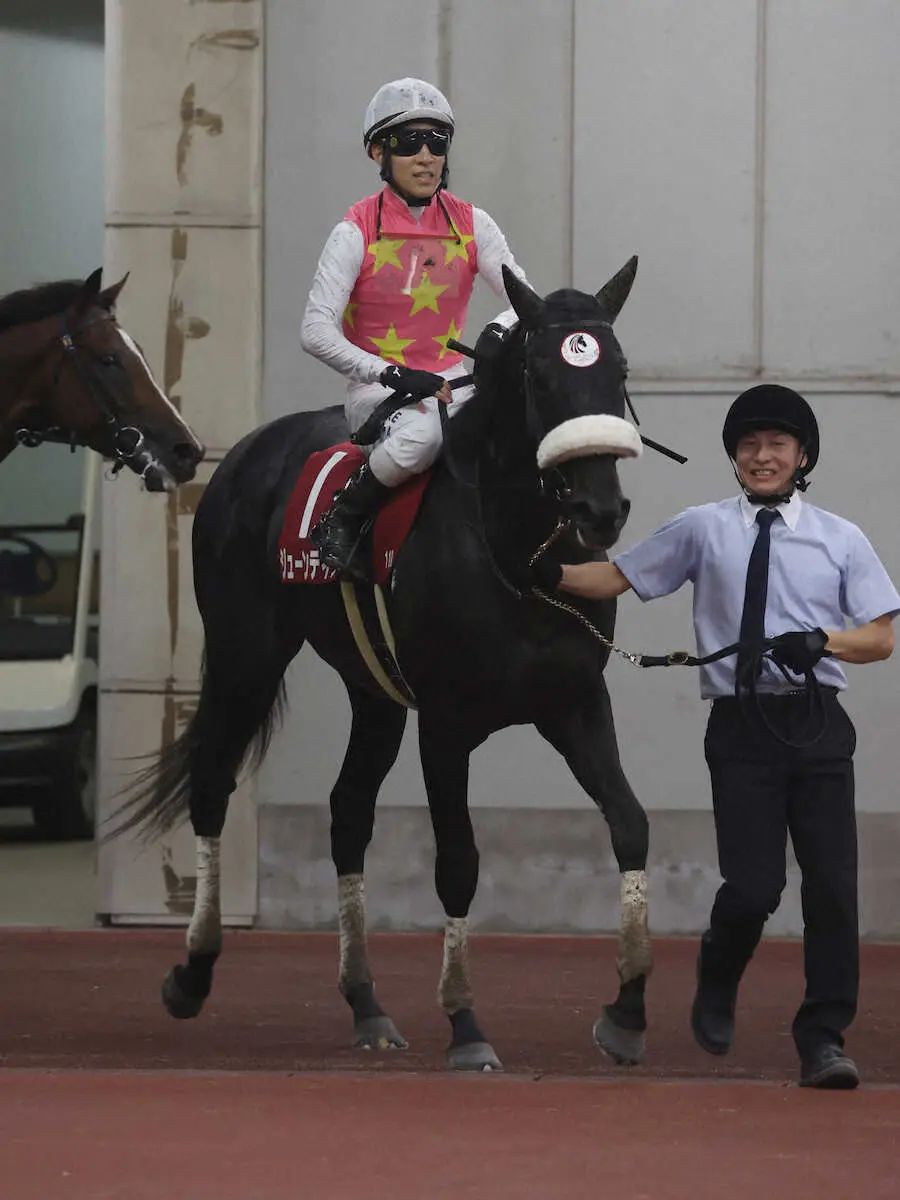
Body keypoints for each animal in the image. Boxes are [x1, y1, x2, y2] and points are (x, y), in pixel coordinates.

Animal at [118, 260, 657, 1070]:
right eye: (538, 375)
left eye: (618, 368)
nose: (600, 511)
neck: (514, 553)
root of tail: (243, 454)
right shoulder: (447, 722)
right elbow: (458, 860)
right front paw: (466, 1024)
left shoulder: (576, 703)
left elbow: (629, 823)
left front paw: (625, 1010)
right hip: (247, 654)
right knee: (212, 781)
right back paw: (193, 972)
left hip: (371, 689)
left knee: (347, 813)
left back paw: (366, 1004)